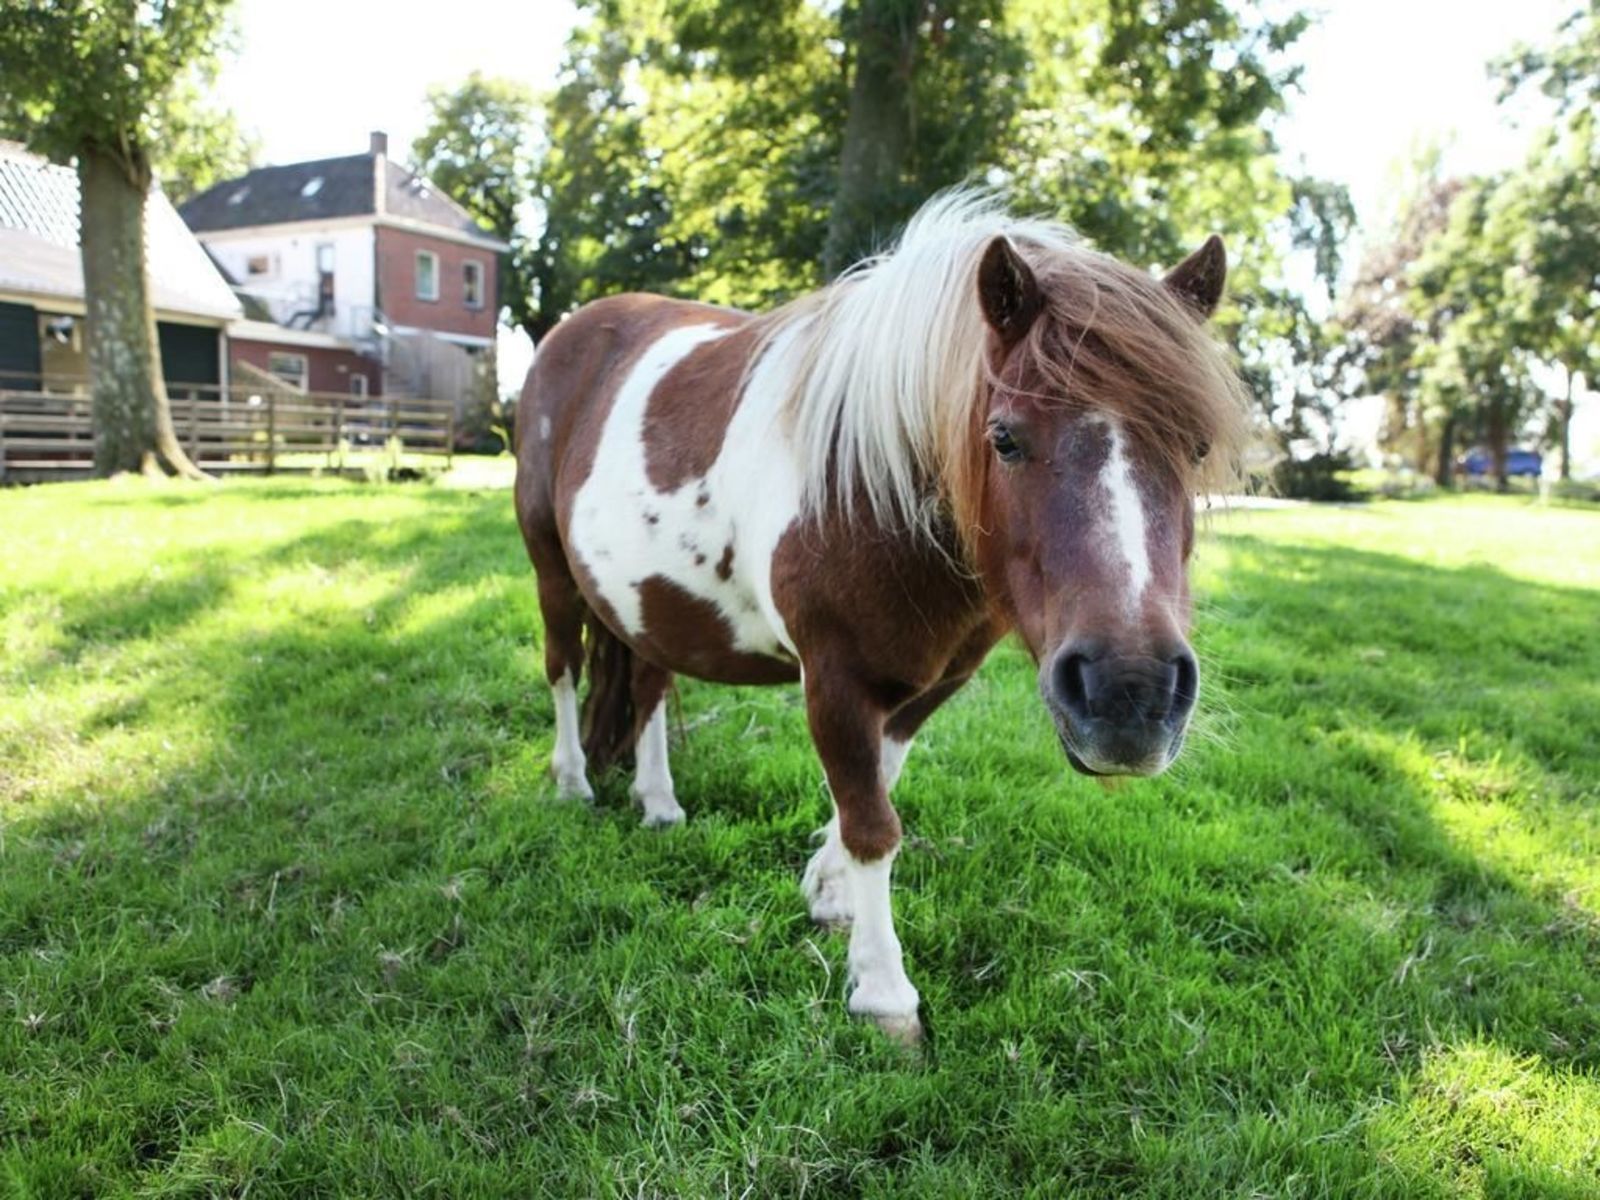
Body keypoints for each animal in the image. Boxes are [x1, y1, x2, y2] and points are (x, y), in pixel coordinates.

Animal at [514, 192, 1247, 1041]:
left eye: (1197, 446)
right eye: (1004, 438)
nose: (1130, 695)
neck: (873, 488)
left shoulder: (933, 681)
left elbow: (875, 788)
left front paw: (828, 894)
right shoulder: (832, 678)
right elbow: (872, 823)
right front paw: (884, 993)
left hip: (649, 598)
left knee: (649, 687)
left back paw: (659, 802)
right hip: (552, 570)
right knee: (564, 669)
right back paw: (573, 781)